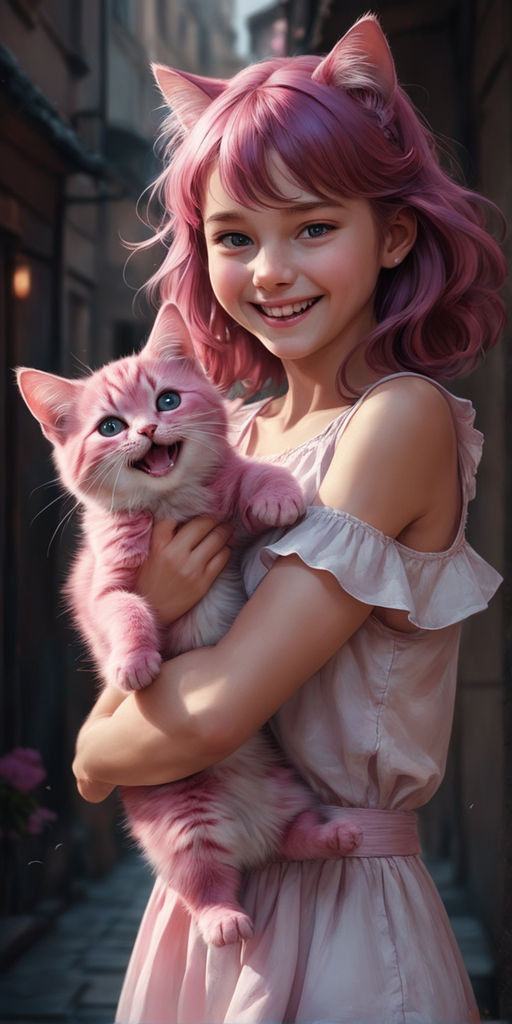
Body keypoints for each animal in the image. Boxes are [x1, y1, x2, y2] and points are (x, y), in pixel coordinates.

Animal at [16, 307, 360, 946]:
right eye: (109, 426)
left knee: (292, 837)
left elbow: (251, 473)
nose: (148, 429)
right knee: (203, 880)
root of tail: (249, 829)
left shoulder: (228, 509)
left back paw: (334, 833)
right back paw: (224, 917)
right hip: (180, 820)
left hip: (288, 788)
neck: (169, 505)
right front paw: (133, 661)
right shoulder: (104, 585)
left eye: (168, 399)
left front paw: (277, 494)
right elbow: (127, 609)